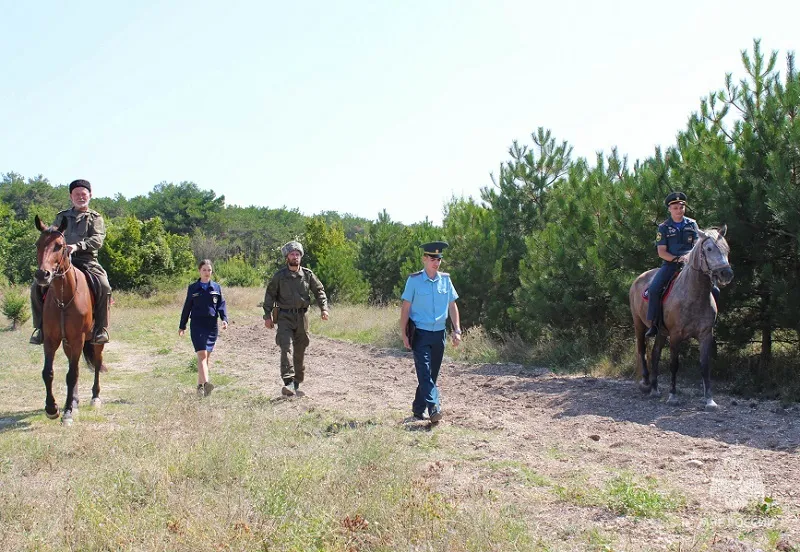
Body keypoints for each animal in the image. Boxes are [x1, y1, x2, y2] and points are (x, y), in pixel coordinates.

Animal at [34, 213, 105, 424]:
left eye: (59, 245)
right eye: (38, 244)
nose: (42, 274)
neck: (63, 299)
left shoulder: (77, 339)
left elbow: (71, 375)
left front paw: (66, 413)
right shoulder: (51, 339)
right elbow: (48, 372)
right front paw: (52, 408)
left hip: (95, 341)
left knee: (97, 363)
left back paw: (95, 398)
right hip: (67, 344)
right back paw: (74, 401)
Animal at [628, 224, 736, 410]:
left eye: (727, 249)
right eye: (709, 249)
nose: (726, 273)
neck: (694, 295)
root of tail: (638, 279)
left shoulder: (705, 335)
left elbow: (705, 365)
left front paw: (710, 399)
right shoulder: (676, 335)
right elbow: (674, 364)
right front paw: (673, 395)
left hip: (661, 332)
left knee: (655, 353)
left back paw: (655, 389)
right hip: (639, 325)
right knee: (642, 350)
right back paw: (646, 383)